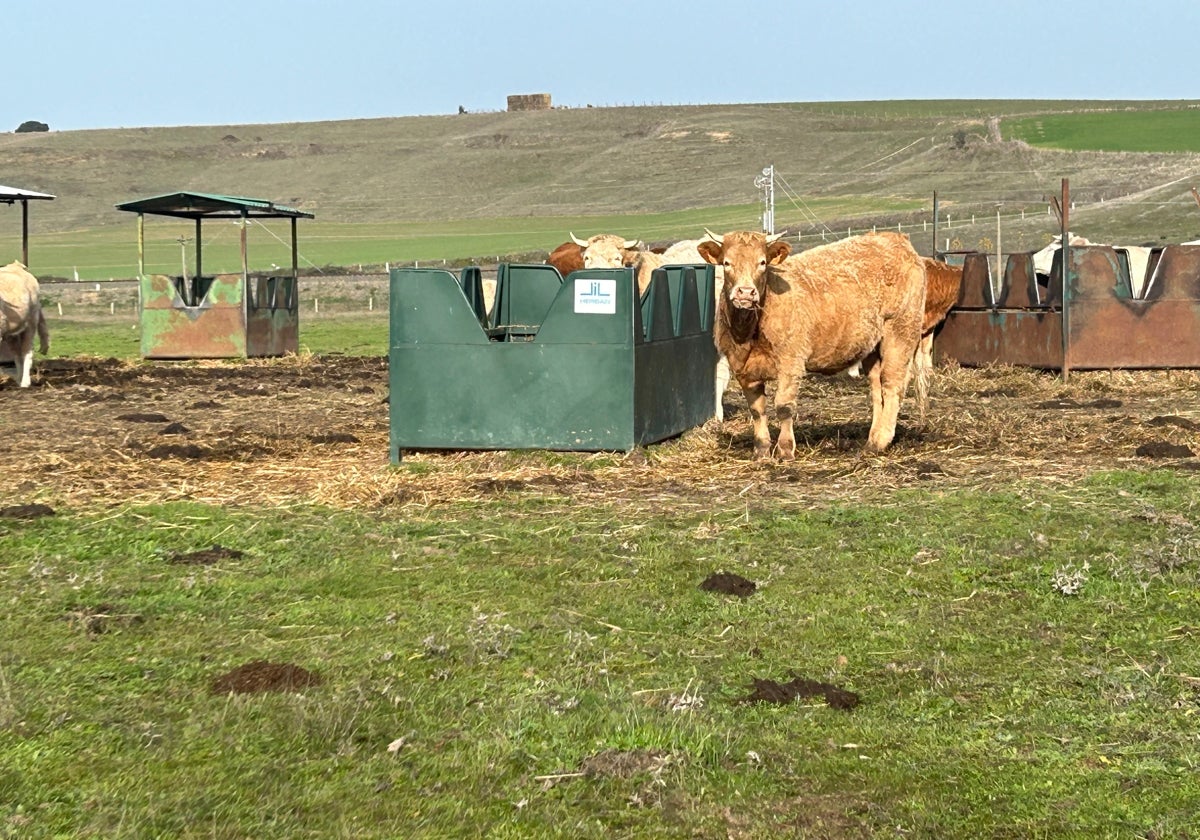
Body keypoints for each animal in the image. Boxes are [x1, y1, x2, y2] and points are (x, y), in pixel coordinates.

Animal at [0, 260, 50, 388]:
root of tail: (17, 265)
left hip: (31, 323)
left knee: (26, 352)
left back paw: (25, 382)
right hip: (11, 334)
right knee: (17, 355)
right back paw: (19, 379)